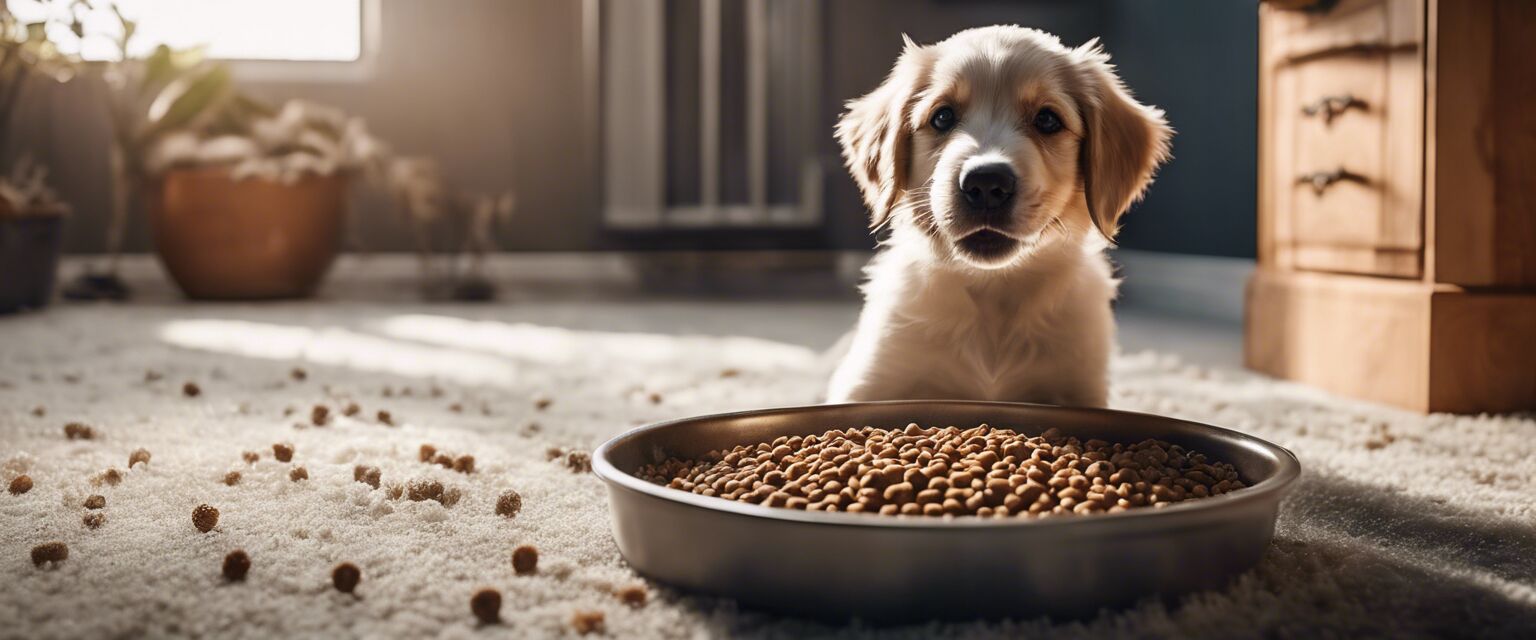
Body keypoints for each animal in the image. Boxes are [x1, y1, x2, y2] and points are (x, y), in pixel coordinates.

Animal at [835, 26, 1167, 408]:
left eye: (1047, 120)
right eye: (942, 117)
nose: (985, 183)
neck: (992, 292)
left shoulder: (1081, 388)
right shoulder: (870, 382)